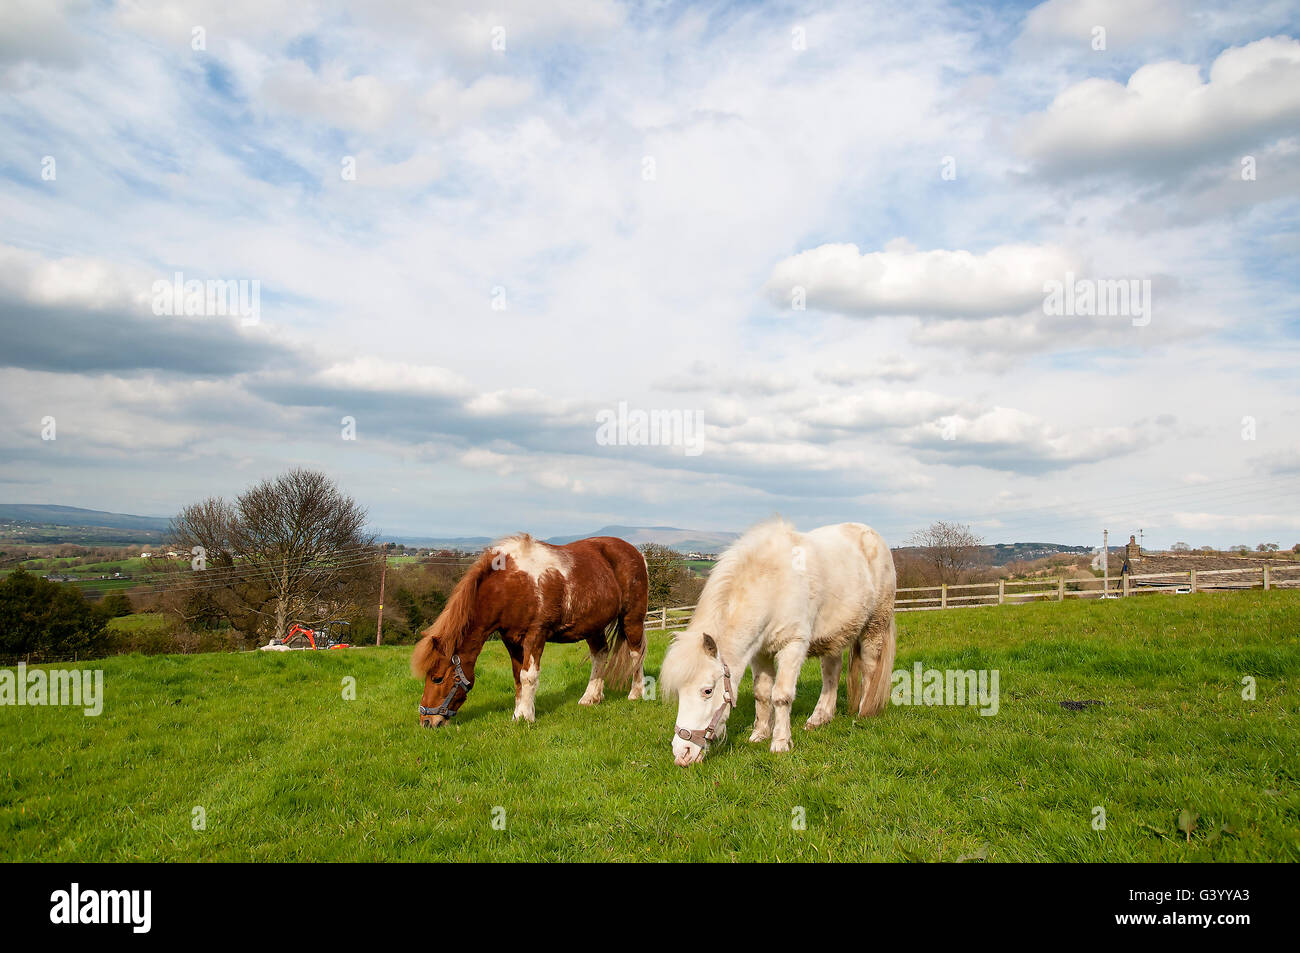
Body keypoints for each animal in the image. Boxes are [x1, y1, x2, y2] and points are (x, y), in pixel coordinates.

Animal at [410, 534, 649, 727]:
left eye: (437, 678)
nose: (427, 721)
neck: (512, 585)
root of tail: (637, 553)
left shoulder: (536, 636)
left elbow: (529, 676)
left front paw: (526, 716)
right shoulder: (511, 641)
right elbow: (518, 677)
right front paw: (518, 714)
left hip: (632, 618)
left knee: (636, 653)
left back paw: (636, 693)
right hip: (593, 626)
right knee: (600, 655)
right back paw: (591, 698)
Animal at [660, 519, 896, 765]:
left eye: (707, 691)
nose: (682, 753)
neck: (771, 584)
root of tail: (872, 535)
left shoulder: (792, 646)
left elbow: (781, 695)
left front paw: (780, 742)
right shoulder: (759, 652)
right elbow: (762, 693)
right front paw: (760, 734)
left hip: (875, 626)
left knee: (870, 668)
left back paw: (864, 712)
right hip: (834, 636)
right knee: (831, 673)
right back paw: (819, 717)